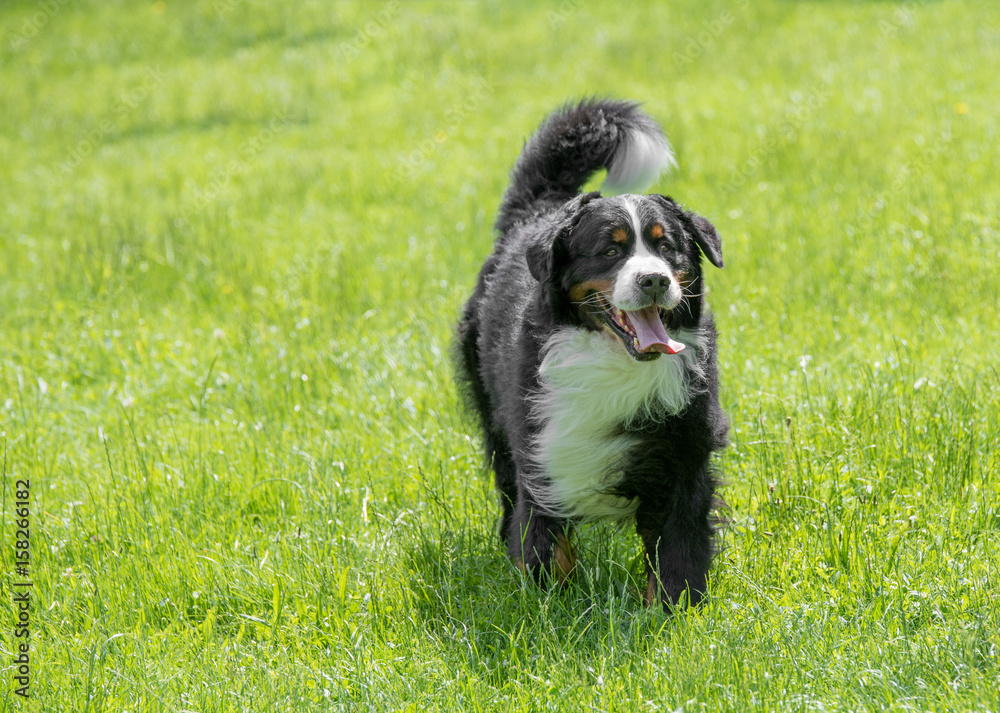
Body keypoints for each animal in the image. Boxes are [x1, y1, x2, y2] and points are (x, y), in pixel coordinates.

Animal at [458, 98, 728, 608]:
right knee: (506, 485)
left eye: (666, 246)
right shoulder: (543, 446)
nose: (654, 279)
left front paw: (671, 610)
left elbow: (678, 550)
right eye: (609, 251)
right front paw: (548, 606)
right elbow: (545, 542)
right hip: (494, 419)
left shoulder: (687, 451)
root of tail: (538, 211)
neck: (616, 365)